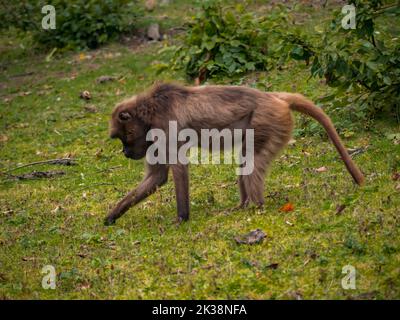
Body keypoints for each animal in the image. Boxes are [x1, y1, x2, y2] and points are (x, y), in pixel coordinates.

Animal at [104, 84, 366, 226]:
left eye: (123, 136)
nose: (125, 153)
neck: (150, 109)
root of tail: (275, 97)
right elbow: (157, 177)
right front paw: (112, 216)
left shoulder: (165, 128)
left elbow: (176, 170)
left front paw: (182, 218)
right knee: (246, 158)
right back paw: (243, 205)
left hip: (268, 120)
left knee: (253, 161)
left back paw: (255, 208)